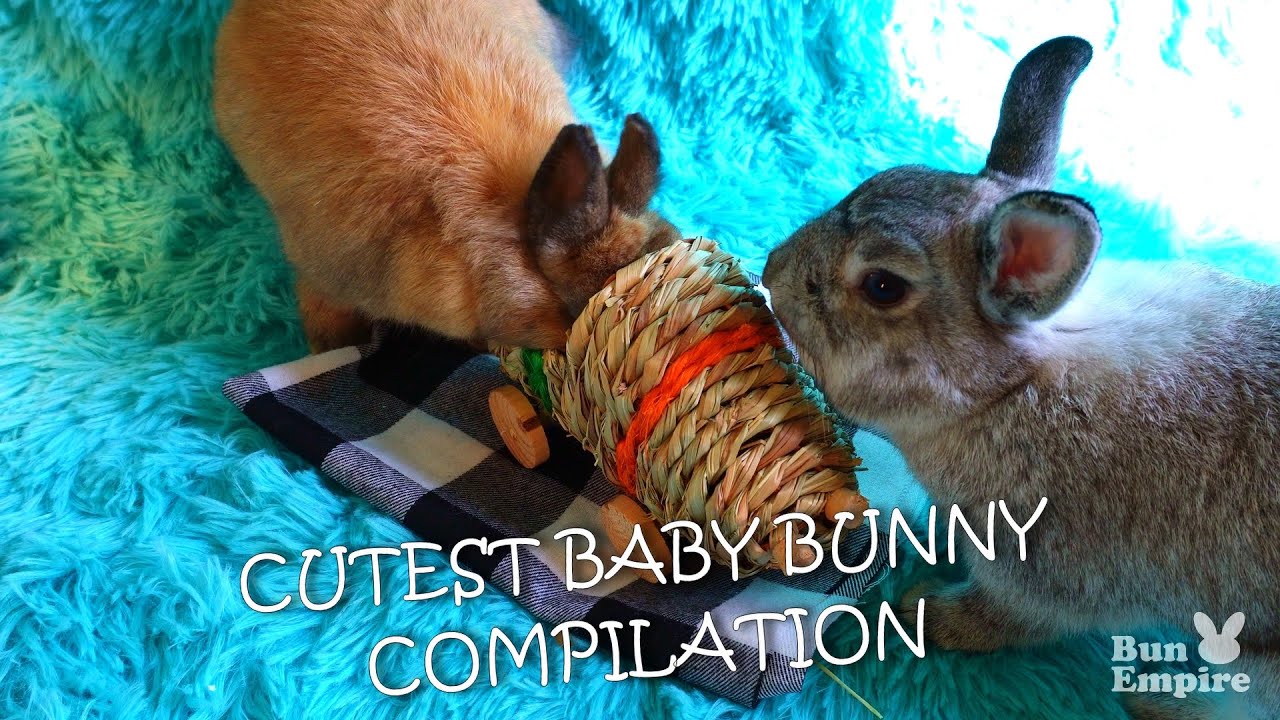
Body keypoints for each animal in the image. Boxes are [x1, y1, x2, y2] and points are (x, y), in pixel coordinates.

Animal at [764, 36, 1280, 720]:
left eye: (883, 286)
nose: (772, 271)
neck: (1007, 387)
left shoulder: (1043, 577)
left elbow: (1004, 619)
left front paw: (925, 611)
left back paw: (1157, 695)